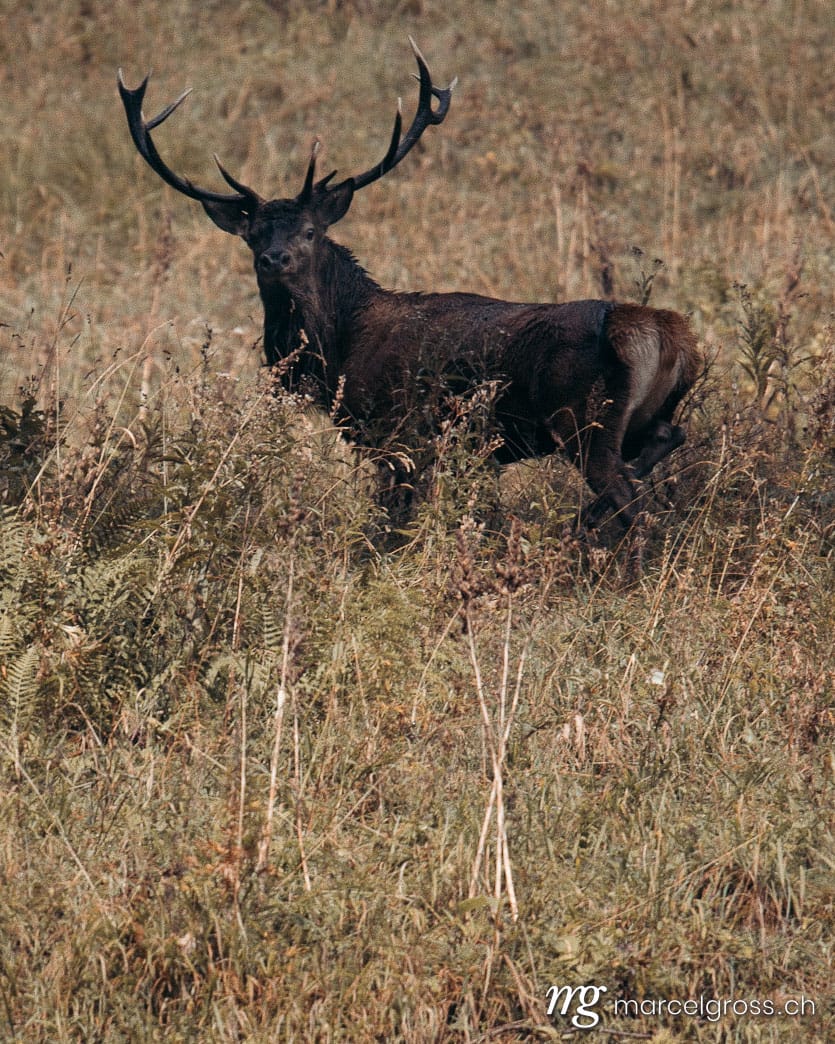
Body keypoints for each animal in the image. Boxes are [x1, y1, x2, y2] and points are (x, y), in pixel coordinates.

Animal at [118, 40, 701, 534]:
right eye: (253, 234)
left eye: (309, 232)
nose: (273, 258)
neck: (338, 350)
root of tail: (664, 333)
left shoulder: (398, 432)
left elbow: (391, 524)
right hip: (639, 418)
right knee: (665, 442)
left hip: (586, 421)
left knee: (628, 501)